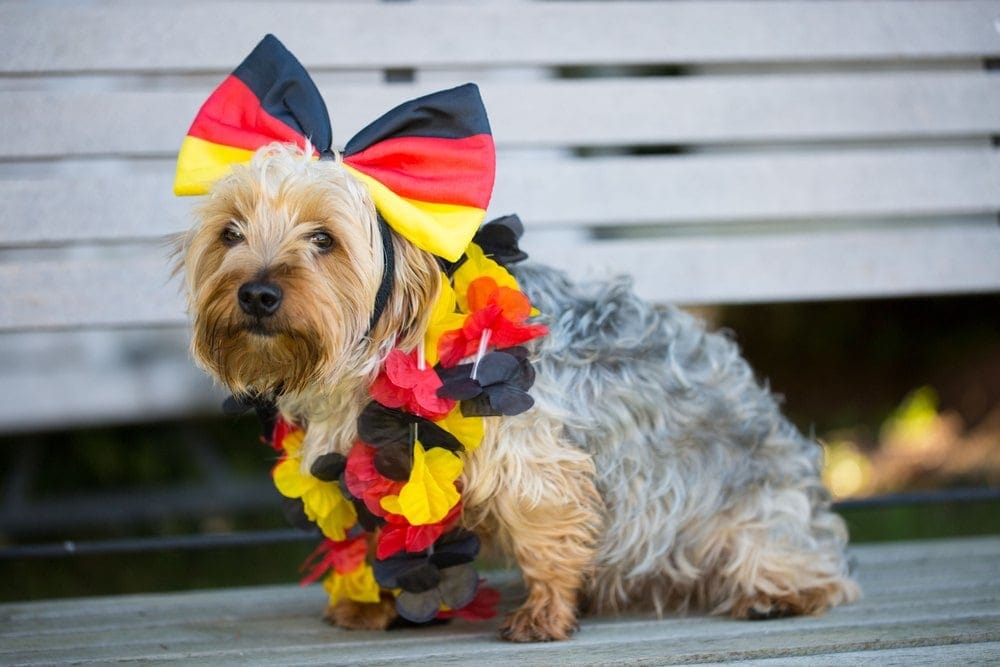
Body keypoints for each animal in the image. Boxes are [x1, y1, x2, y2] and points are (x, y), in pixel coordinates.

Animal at [178, 142, 860, 648]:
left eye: (324, 239)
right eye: (230, 234)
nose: (256, 293)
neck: (390, 343)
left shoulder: (534, 459)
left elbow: (546, 531)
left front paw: (546, 612)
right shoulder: (361, 462)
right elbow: (378, 533)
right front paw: (373, 604)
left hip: (759, 514)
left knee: (808, 563)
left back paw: (778, 592)